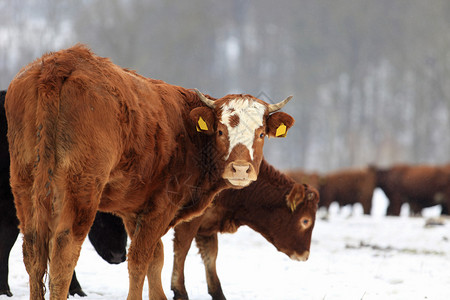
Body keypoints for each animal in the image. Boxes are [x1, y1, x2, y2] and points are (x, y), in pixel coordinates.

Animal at [6, 45, 296, 300]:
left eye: (261, 134)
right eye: (221, 131)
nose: (240, 168)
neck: (189, 133)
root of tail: (61, 63)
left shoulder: (135, 210)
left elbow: (156, 257)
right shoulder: (161, 206)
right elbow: (140, 259)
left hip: (24, 182)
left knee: (33, 249)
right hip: (81, 188)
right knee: (64, 251)